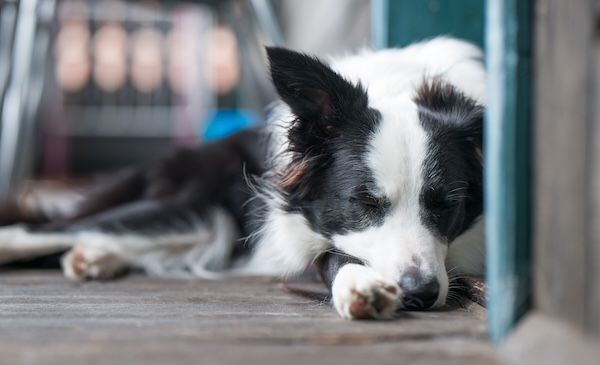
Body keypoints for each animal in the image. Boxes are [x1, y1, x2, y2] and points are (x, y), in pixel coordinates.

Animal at [0, 37, 486, 318]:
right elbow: (331, 257)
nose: (420, 293)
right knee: (39, 228)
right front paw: (362, 283)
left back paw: (97, 255)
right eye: (364, 204)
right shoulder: (296, 234)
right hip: (188, 208)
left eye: (447, 206)